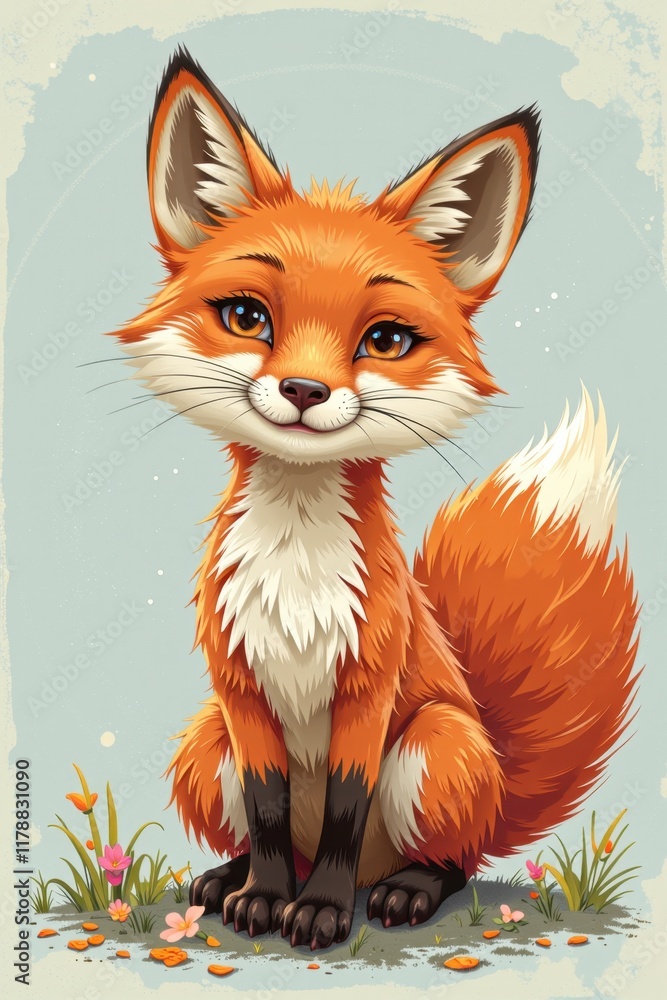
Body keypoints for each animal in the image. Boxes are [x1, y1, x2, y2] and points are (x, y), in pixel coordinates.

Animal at [110, 48, 639, 950]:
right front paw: (263, 897)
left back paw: (403, 891)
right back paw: (225, 881)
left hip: (435, 743)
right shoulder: (240, 690)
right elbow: (269, 813)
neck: (295, 570)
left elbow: (344, 811)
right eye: (246, 317)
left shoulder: (370, 685)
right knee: (264, 834)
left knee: (449, 859)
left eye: (384, 339)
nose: (302, 390)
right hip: (204, 742)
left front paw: (317, 910)